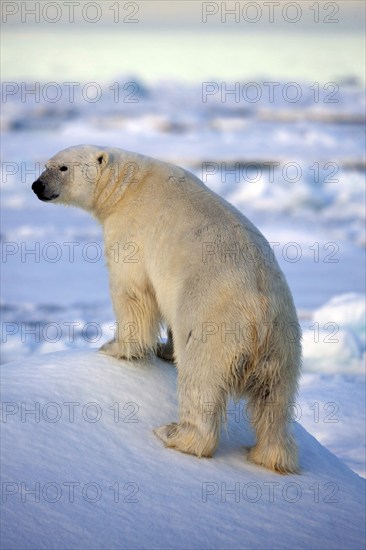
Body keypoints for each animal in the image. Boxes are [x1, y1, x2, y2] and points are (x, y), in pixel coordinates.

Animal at [32, 146, 300, 474]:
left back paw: (176, 434)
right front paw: (163, 349)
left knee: (200, 381)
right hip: (284, 346)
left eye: (63, 167)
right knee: (274, 402)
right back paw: (269, 455)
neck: (127, 185)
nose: (37, 186)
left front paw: (114, 347)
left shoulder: (131, 230)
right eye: (46, 165)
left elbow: (133, 291)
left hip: (215, 324)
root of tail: (261, 315)